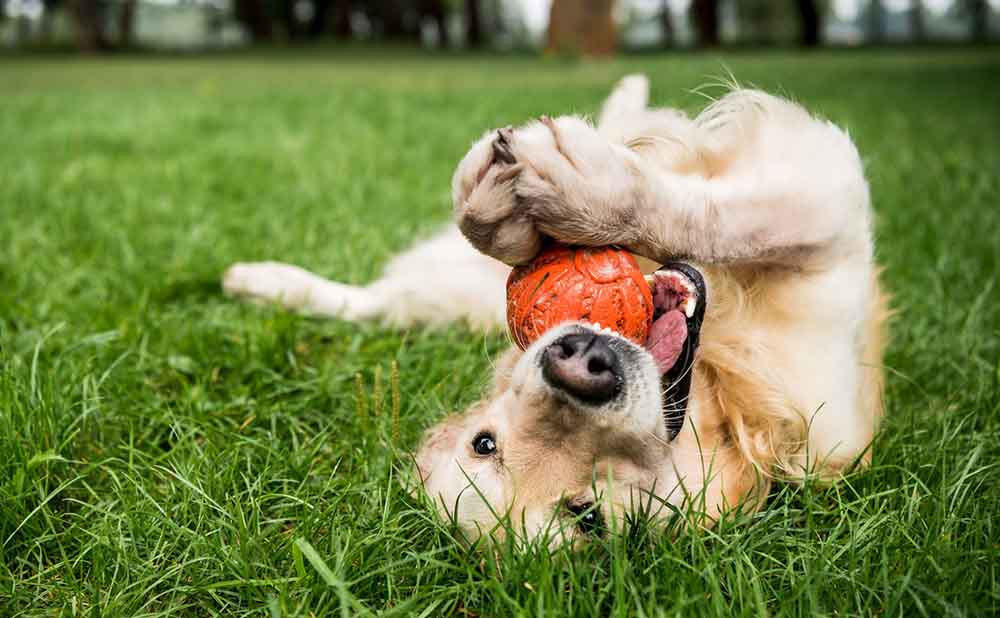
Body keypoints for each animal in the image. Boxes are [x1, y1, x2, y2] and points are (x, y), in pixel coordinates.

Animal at [223, 76, 888, 544]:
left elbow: (722, 214)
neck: (719, 393)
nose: (580, 363)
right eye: (587, 516)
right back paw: (260, 282)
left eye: (482, 444)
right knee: (378, 303)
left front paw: (572, 193)